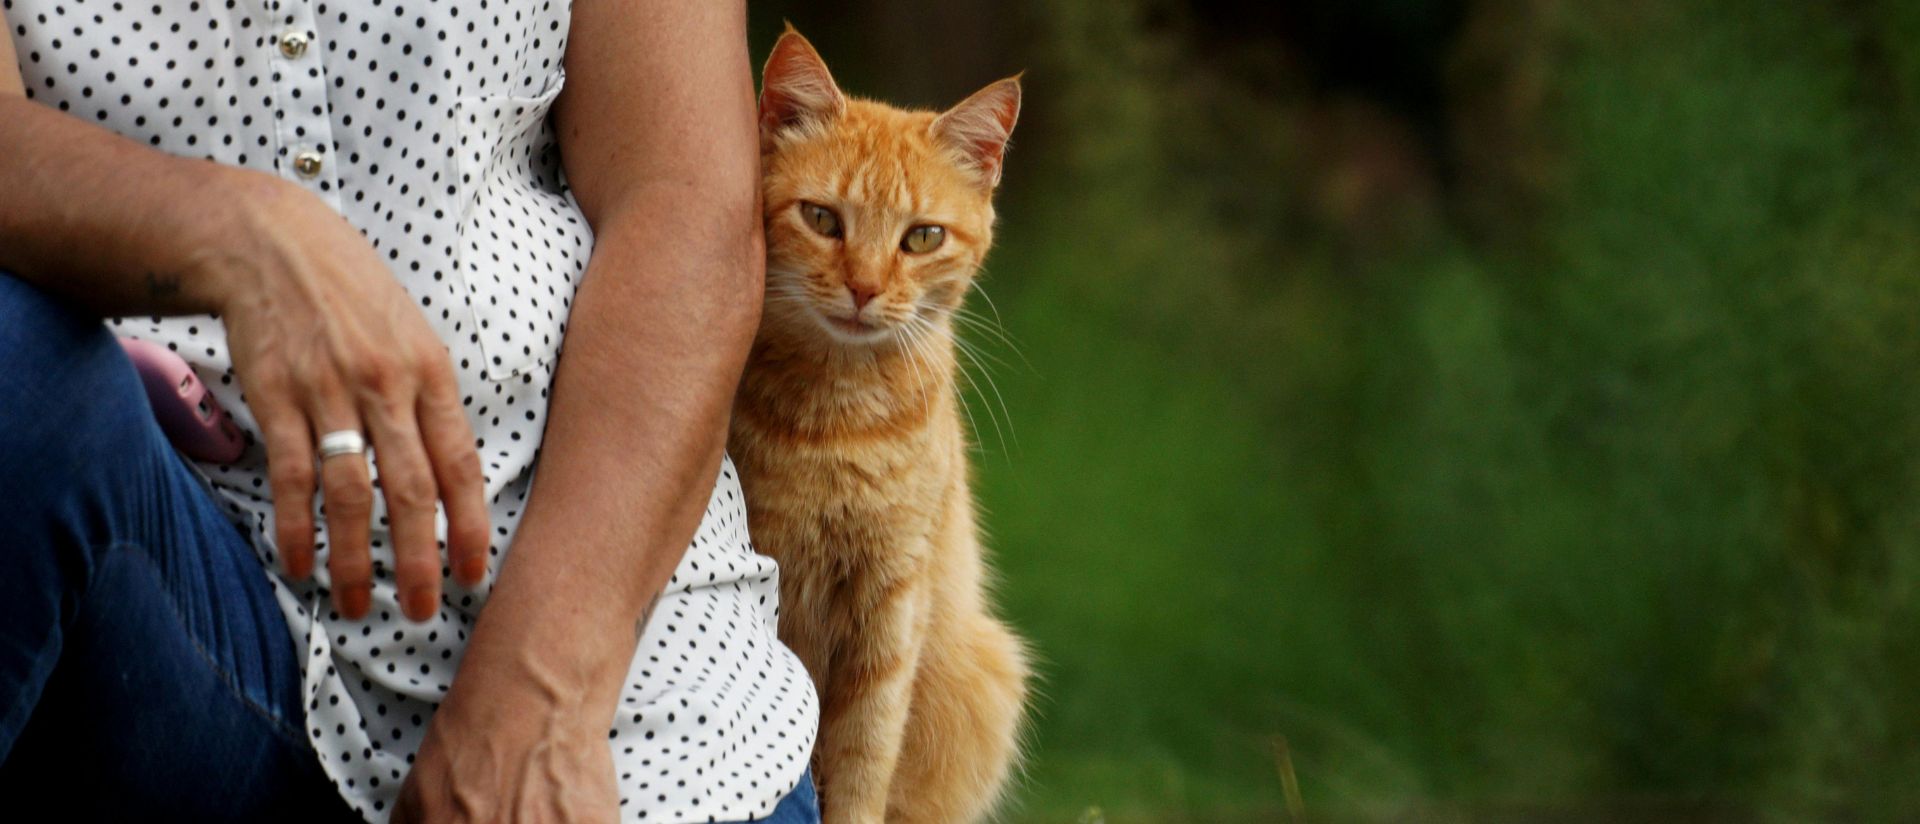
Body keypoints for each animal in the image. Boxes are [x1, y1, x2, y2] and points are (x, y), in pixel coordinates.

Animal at [727, 27, 1030, 824]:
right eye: (822, 219)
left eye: (921, 238)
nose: (864, 288)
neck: (839, 422)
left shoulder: (891, 604)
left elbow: (864, 758)